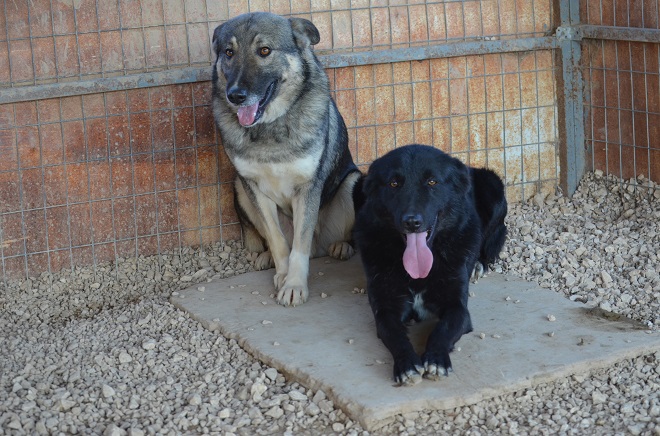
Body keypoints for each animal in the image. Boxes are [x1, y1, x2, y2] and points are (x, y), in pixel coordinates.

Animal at [211, 12, 360, 306]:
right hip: (238, 188)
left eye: (264, 51)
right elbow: (277, 239)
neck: (270, 126)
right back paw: (266, 257)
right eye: (229, 52)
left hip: (353, 181)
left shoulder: (307, 189)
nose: (235, 96)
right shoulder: (253, 188)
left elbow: (299, 247)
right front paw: (282, 273)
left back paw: (341, 246)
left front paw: (294, 285)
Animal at [354, 144, 508, 384]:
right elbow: (394, 334)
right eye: (394, 183)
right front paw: (407, 364)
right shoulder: (385, 309)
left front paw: (436, 359)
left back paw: (478, 264)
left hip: (494, 186)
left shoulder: (458, 307)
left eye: (432, 182)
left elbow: (442, 329)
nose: (412, 222)